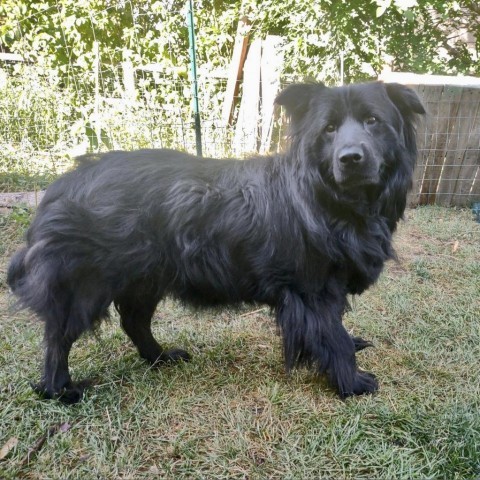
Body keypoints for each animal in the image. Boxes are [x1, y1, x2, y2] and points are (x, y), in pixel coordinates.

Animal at [8, 81, 424, 402]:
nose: (350, 158)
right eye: (329, 129)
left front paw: (352, 351)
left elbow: (338, 328)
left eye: (373, 121)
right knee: (59, 336)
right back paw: (59, 389)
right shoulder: (312, 289)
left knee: (133, 320)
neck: (332, 200)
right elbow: (332, 335)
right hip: (86, 284)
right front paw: (352, 382)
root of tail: (61, 184)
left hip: (146, 276)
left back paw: (159, 357)